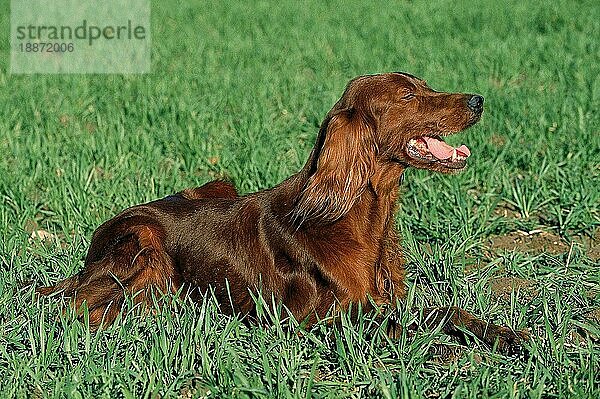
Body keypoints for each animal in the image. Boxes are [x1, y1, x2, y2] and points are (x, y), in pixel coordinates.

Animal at [37, 73, 528, 354]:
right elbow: (395, 328)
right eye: (408, 95)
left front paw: (504, 334)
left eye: (425, 85)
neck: (360, 218)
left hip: (217, 185)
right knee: (76, 308)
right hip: (142, 244)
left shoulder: (387, 300)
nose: (478, 100)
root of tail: (88, 256)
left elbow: (443, 310)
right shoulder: (314, 319)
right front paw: (441, 349)